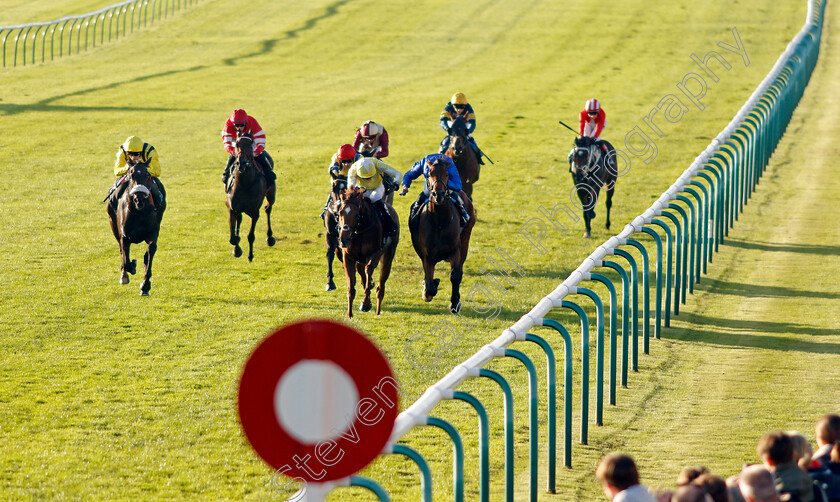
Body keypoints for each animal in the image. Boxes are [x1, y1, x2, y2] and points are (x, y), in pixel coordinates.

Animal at [106, 162, 166, 294]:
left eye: (147, 175)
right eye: (130, 174)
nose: (140, 199)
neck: (139, 213)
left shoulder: (152, 233)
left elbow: (150, 252)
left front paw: (145, 285)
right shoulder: (124, 236)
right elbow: (125, 258)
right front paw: (131, 268)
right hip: (113, 224)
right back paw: (124, 274)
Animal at [336, 186, 398, 320]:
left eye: (356, 215)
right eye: (340, 212)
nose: (344, 239)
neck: (360, 230)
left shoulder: (375, 253)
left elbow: (369, 270)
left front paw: (365, 303)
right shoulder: (348, 257)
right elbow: (351, 285)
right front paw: (349, 313)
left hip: (389, 254)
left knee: (381, 284)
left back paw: (378, 309)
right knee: (361, 272)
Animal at [408, 159, 476, 312]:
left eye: (446, 174)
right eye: (430, 174)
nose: (438, 194)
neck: (439, 221)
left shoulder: (455, 250)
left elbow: (455, 276)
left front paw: (455, 303)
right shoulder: (427, 255)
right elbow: (429, 285)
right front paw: (428, 290)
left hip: (465, 240)